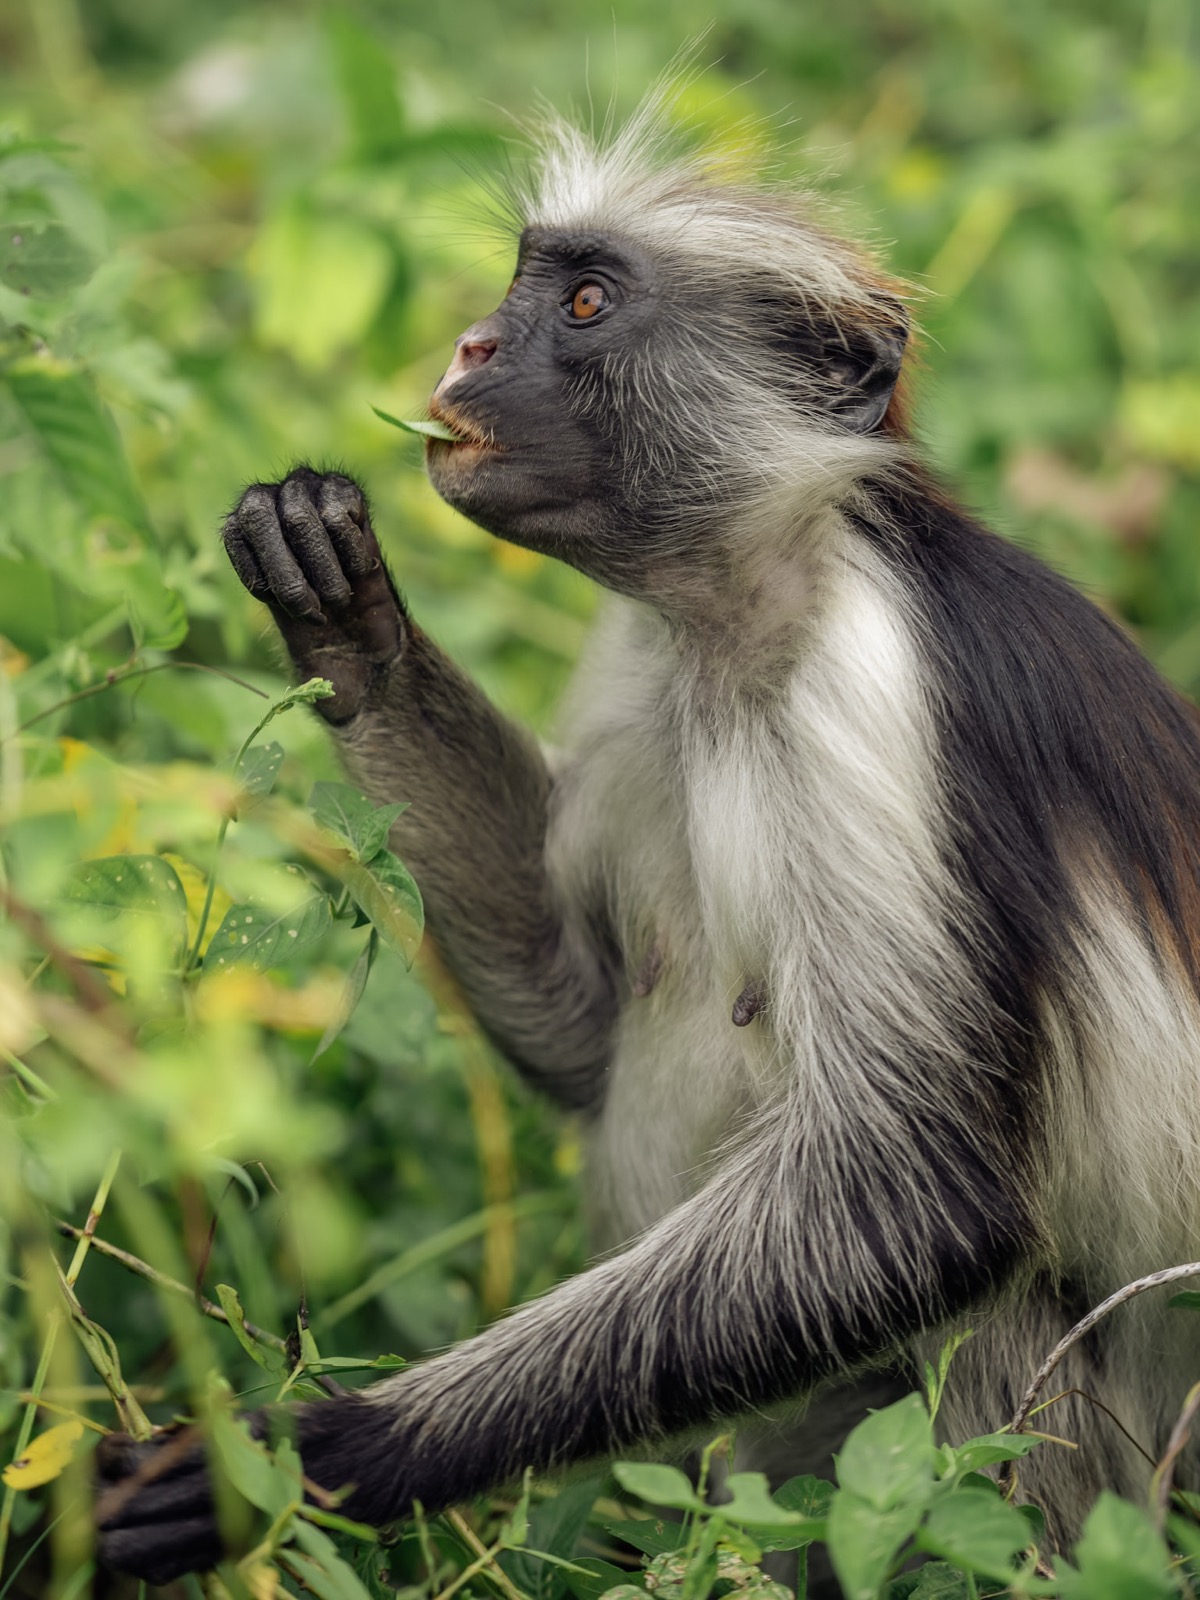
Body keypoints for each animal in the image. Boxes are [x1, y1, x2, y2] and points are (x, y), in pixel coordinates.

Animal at [97, 100, 1200, 1588]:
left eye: (584, 304)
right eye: (524, 285)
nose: (469, 347)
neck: (750, 622)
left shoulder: (881, 686)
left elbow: (923, 1196)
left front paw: (328, 1451)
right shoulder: (642, 656)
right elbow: (583, 1023)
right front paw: (347, 621)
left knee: (1005, 1313)